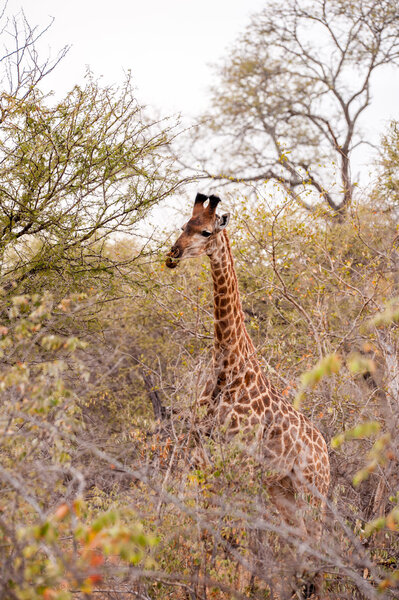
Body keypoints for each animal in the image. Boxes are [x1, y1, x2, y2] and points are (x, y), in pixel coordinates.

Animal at [166, 192, 332, 528]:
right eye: (184, 226)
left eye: (206, 232)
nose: (173, 254)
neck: (227, 367)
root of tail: (327, 456)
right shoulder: (200, 456)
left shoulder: (239, 460)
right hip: (282, 489)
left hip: (312, 492)